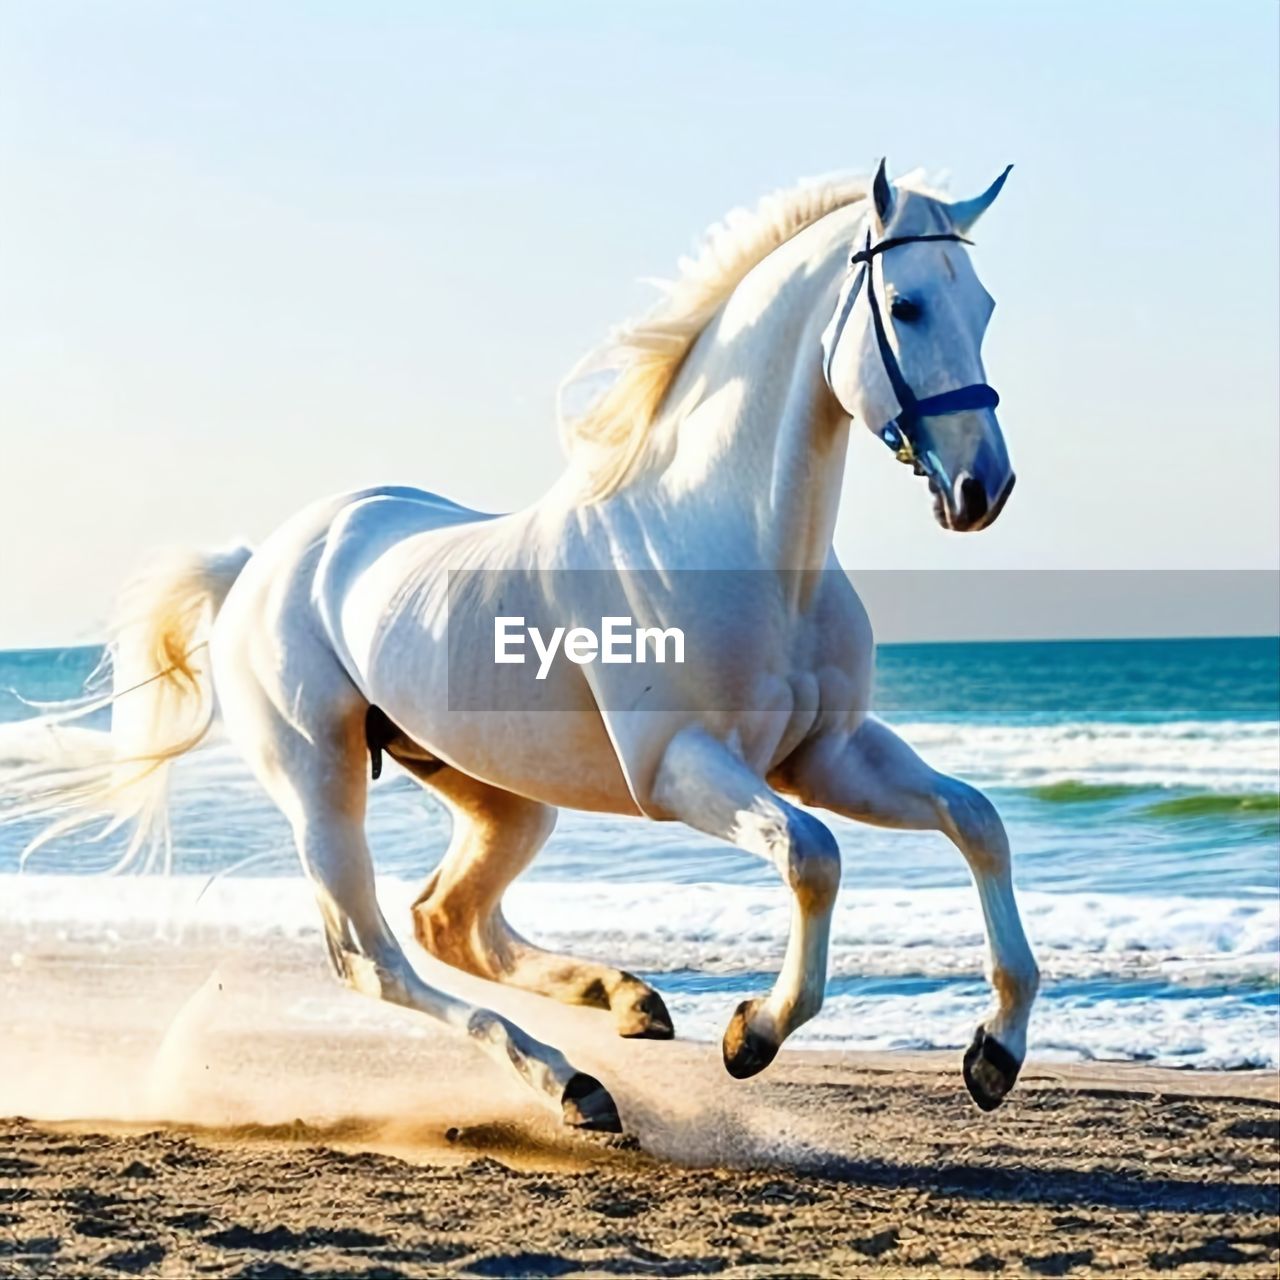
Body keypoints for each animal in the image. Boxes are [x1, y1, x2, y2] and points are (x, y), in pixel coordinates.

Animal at [10, 160, 1039, 1131]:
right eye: (906, 306)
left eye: (987, 305)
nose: (983, 490)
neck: (730, 540)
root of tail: (260, 564)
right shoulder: (682, 768)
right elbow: (811, 855)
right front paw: (753, 1033)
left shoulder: (827, 754)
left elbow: (975, 820)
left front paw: (995, 1052)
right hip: (321, 781)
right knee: (375, 957)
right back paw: (576, 1084)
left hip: (496, 791)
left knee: (449, 922)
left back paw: (626, 1004)